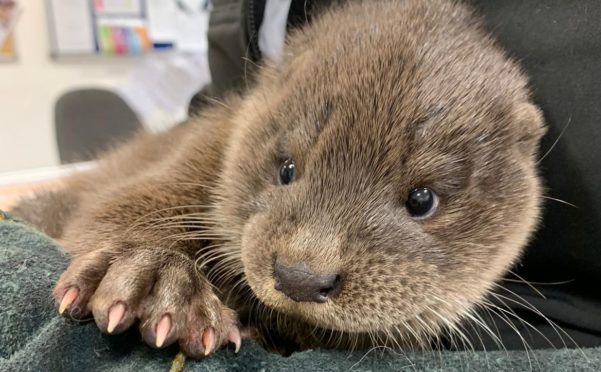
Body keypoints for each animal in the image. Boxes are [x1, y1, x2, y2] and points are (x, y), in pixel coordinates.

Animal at [14, 0, 544, 358]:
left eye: (422, 200)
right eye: (286, 168)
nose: (301, 277)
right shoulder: (204, 144)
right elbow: (128, 202)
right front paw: (154, 279)